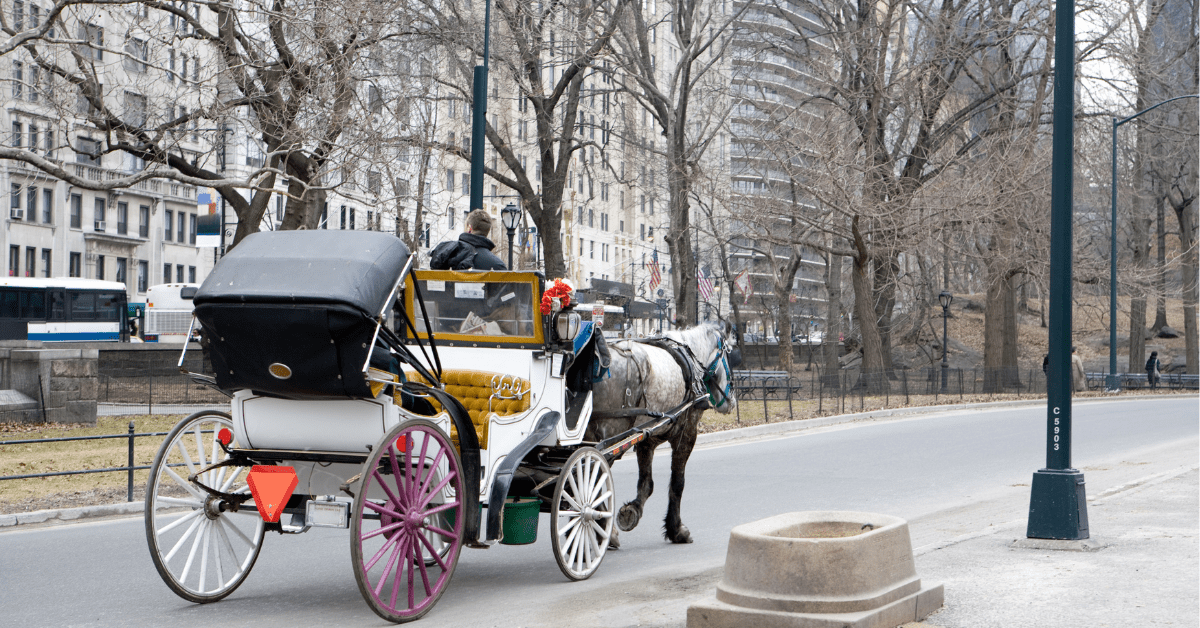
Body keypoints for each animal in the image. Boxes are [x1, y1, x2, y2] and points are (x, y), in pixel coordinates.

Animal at [583, 324, 734, 545]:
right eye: (730, 356)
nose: (732, 401)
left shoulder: (648, 439)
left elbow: (646, 483)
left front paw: (632, 511)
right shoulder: (687, 434)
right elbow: (677, 484)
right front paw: (676, 529)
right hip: (609, 436)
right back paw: (605, 531)